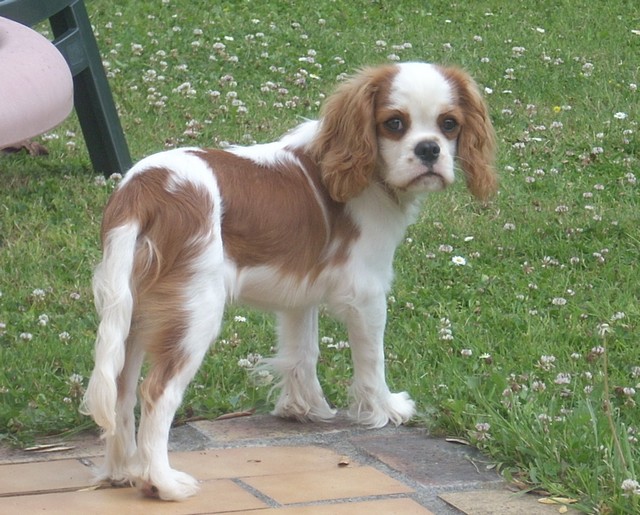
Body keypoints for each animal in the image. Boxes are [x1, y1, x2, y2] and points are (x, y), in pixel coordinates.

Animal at [82, 60, 498, 500]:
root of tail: (143, 191)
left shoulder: (299, 292)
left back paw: (121, 471)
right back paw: (161, 481)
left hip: (134, 311)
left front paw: (304, 409)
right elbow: (372, 361)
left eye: (449, 124)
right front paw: (384, 410)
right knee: (156, 393)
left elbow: (303, 352)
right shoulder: (366, 293)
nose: (429, 149)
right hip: (194, 311)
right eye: (395, 124)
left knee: (121, 391)